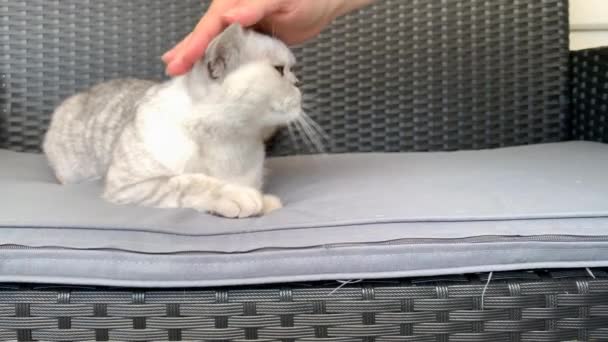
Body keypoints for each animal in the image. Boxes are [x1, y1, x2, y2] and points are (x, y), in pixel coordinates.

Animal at [43, 22, 306, 218]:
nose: (298, 84)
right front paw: (236, 195)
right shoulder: (129, 186)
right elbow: (187, 182)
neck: (230, 142)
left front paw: (265, 201)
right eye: (280, 70)